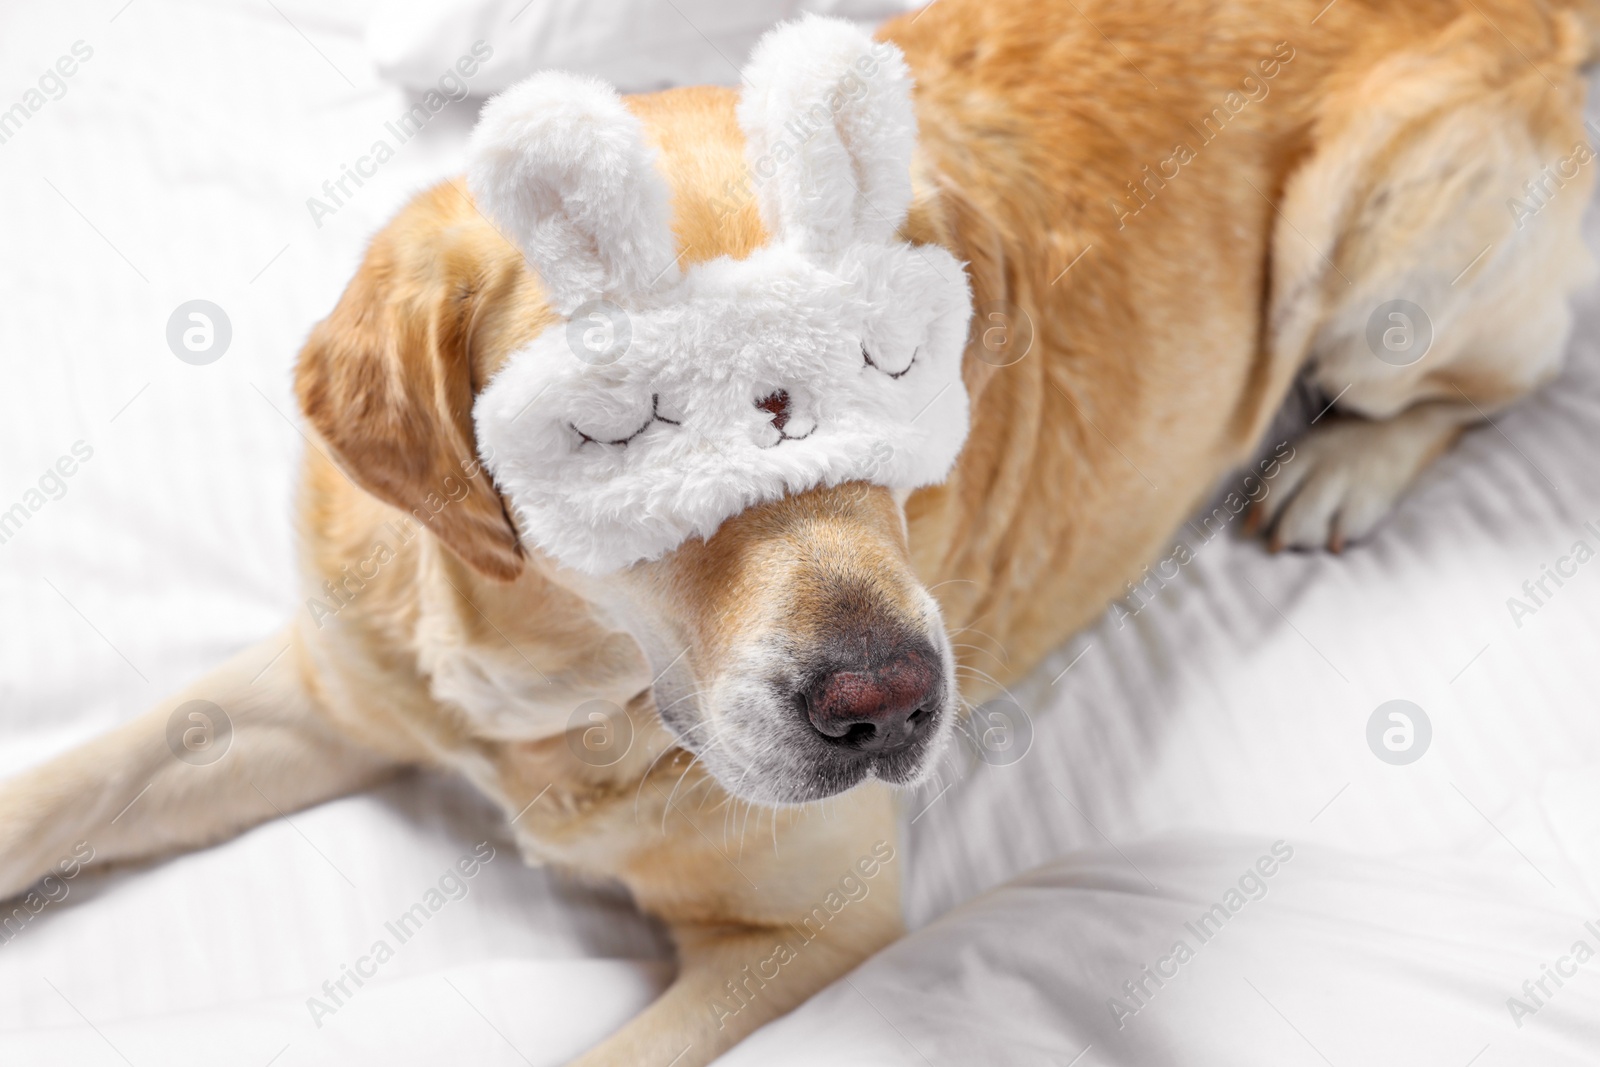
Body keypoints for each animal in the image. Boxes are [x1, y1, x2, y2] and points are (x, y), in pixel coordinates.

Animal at [3, 4, 1600, 1062]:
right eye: (630, 428)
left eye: (900, 375)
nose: (886, 705)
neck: (548, 683)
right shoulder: (320, 685)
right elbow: (64, 788)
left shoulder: (807, 934)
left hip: (1379, 264)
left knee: (1493, 380)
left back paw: (1343, 465)